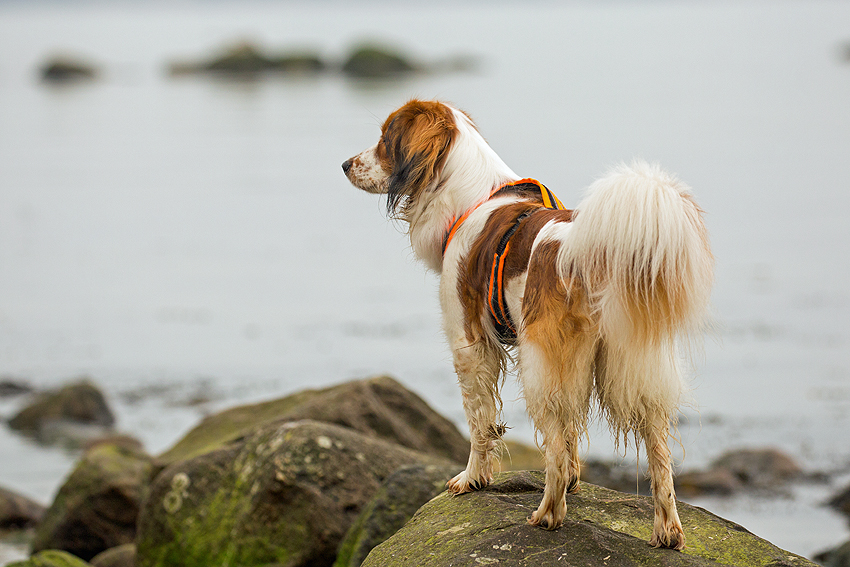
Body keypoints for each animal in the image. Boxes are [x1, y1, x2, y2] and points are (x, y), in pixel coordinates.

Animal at [340, 98, 708, 552]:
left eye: (385, 139)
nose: (345, 164)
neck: (473, 199)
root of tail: (590, 253)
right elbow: (570, 437)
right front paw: (575, 479)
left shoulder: (469, 343)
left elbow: (481, 422)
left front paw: (472, 479)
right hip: (634, 362)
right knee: (658, 452)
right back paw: (667, 531)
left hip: (540, 365)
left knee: (552, 450)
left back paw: (547, 514)